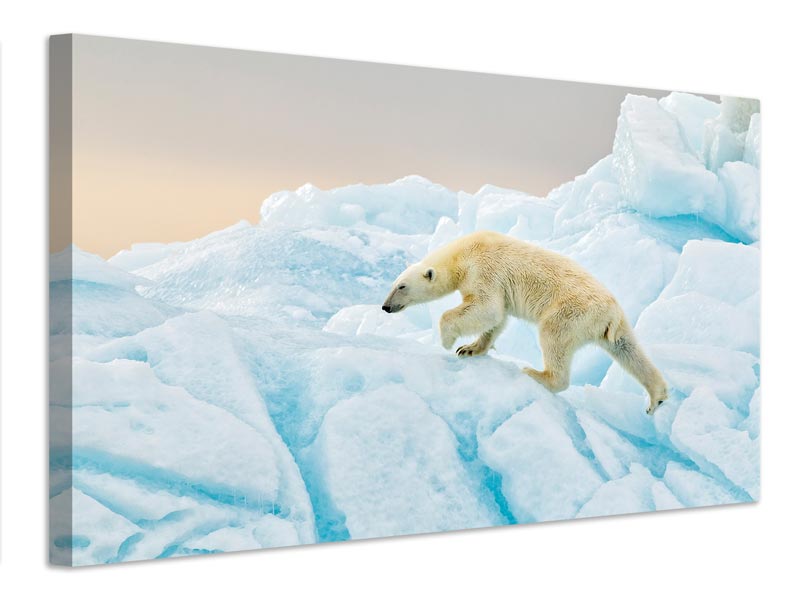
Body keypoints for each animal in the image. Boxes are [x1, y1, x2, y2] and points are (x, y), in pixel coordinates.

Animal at [382, 230, 669, 414]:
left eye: (402, 286)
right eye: (393, 283)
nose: (385, 307)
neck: (463, 252)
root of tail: (611, 312)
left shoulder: (484, 269)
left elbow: (487, 308)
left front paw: (448, 340)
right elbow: (496, 319)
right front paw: (470, 348)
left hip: (570, 312)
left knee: (553, 338)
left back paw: (536, 374)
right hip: (611, 326)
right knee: (628, 350)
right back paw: (656, 398)